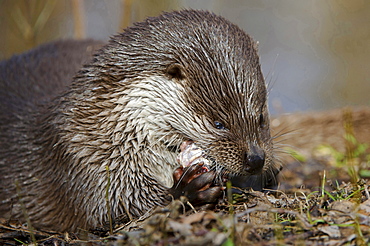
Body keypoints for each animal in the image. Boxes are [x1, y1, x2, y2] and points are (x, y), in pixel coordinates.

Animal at [0, 10, 280, 233]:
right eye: (218, 123)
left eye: (261, 116)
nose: (256, 159)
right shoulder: (81, 157)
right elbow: (111, 208)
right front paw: (187, 192)